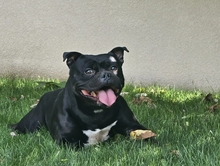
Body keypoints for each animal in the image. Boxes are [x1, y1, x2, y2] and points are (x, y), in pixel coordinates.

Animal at [10, 46, 155, 148]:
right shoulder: (66, 140)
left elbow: (149, 136)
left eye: (114, 68)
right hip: (31, 124)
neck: (95, 111)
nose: (106, 74)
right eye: (88, 71)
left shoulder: (136, 127)